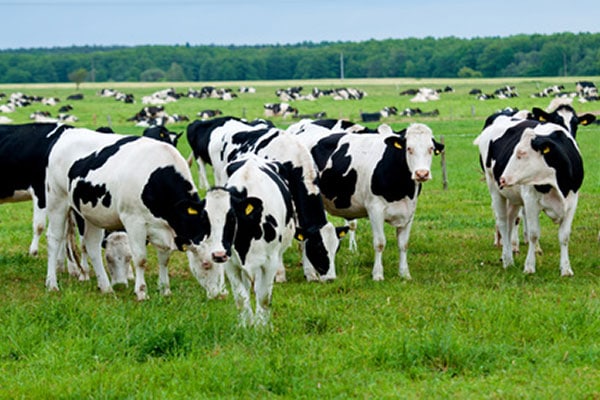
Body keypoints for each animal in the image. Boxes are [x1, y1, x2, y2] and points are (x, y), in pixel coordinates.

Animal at [44, 128, 227, 300]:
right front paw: (141, 292)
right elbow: (140, 259)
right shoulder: (134, 221)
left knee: (92, 246)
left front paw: (165, 290)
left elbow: (164, 258)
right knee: (54, 239)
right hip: (57, 200)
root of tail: (68, 132)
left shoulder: (162, 227)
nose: (217, 294)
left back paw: (106, 287)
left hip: (91, 214)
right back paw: (52, 284)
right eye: (206, 264)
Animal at [188, 116, 346, 282]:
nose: (330, 278)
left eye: (336, 249)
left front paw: (310, 274)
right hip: (219, 177)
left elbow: (302, 240)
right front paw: (280, 275)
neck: (295, 161)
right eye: (318, 248)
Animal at [196, 155, 296, 326]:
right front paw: (246, 325)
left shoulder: (269, 262)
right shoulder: (231, 263)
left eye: (232, 218)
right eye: (204, 219)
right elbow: (241, 297)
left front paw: (261, 326)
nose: (218, 255)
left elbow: (264, 297)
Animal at [288, 122, 442, 282]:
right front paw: (378, 274)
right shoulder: (375, 209)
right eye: (409, 148)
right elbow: (380, 243)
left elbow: (403, 244)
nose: (422, 173)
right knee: (303, 240)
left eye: (431, 149)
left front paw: (404, 274)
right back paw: (309, 273)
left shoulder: (409, 211)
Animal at [474, 104, 596, 276]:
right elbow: (533, 234)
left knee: (512, 220)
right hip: (495, 188)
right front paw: (529, 267)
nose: (503, 178)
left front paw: (566, 269)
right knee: (503, 222)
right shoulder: (530, 200)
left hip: (514, 197)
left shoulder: (572, 201)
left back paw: (509, 253)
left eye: (521, 153)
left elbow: (564, 236)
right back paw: (508, 259)